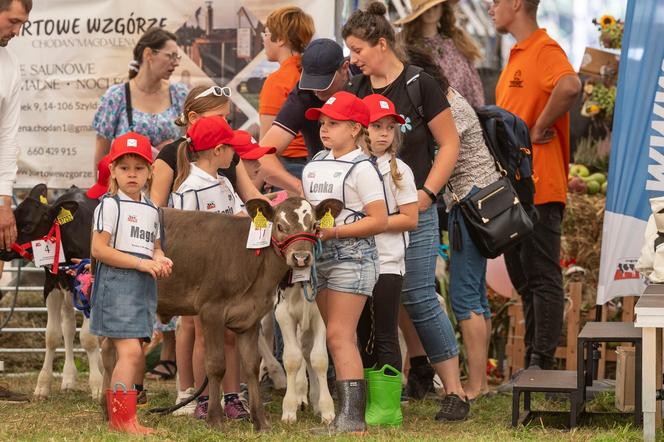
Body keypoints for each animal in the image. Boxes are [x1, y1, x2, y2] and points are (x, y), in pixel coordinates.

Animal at [274, 284, 334, 424]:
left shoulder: (320, 314)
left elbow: (319, 358)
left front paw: (326, 410)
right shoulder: (282, 313)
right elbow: (292, 359)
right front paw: (289, 410)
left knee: (306, 351)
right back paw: (300, 395)